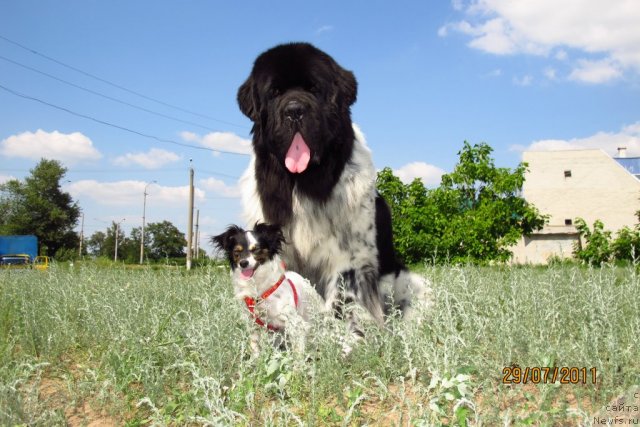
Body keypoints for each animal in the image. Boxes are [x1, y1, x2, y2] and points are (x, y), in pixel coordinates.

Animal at [212, 222, 324, 356]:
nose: (243, 263)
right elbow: (255, 346)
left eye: (256, 249)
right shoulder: (253, 324)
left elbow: (298, 351)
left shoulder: (295, 323)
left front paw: (297, 362)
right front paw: (256, 360)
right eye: (237, 251)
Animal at [236, 42, 430, 332]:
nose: (294, 110)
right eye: (275, 93)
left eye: (314, 89)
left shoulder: (349, 258)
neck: (303, 183)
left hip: (415, 284)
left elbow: (342, 299)